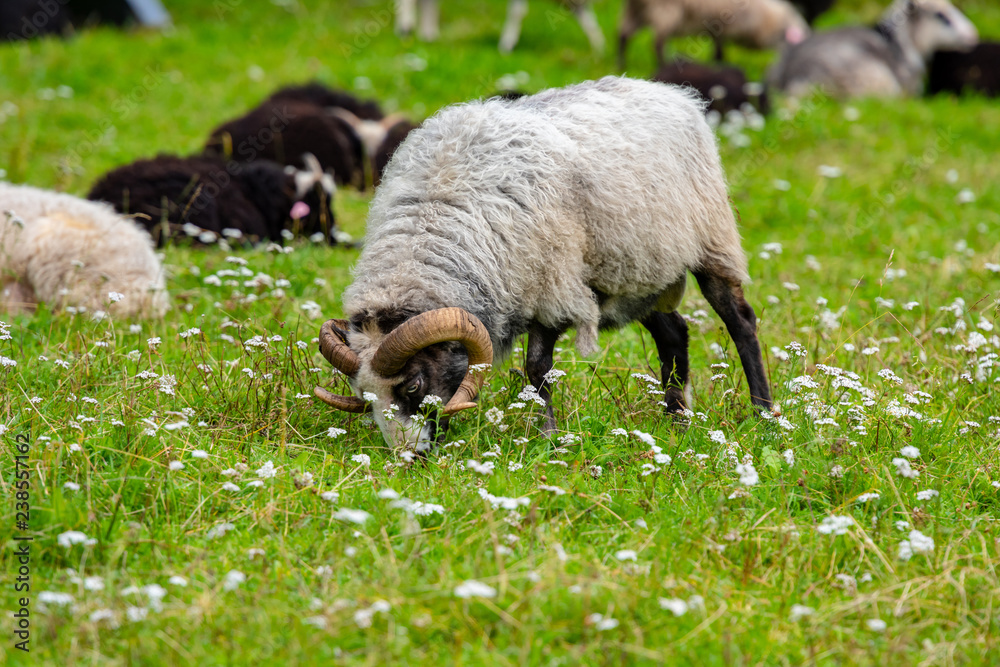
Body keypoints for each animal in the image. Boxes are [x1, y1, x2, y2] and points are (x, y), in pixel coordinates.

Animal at [314, 76, 772, 450]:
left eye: (413, 384)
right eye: (365, 393)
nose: (409, 458)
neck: (439, 213)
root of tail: (670, 91)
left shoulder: (552, 285)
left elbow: (537, 368)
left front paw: (550, 439)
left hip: (712, 240)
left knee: (740, 320)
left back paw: (764, 413)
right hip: (638, 273)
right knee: (674, 332)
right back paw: (676, 419)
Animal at [618, 0, 810, 68]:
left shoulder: (716, 28)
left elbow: (717, 49)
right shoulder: (722, 26)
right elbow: (719, 51)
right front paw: (720, 63)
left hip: (636, 10)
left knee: (623, 36)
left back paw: (621, 65)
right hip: (665, 11)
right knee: (657, 43)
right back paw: (662, 64)